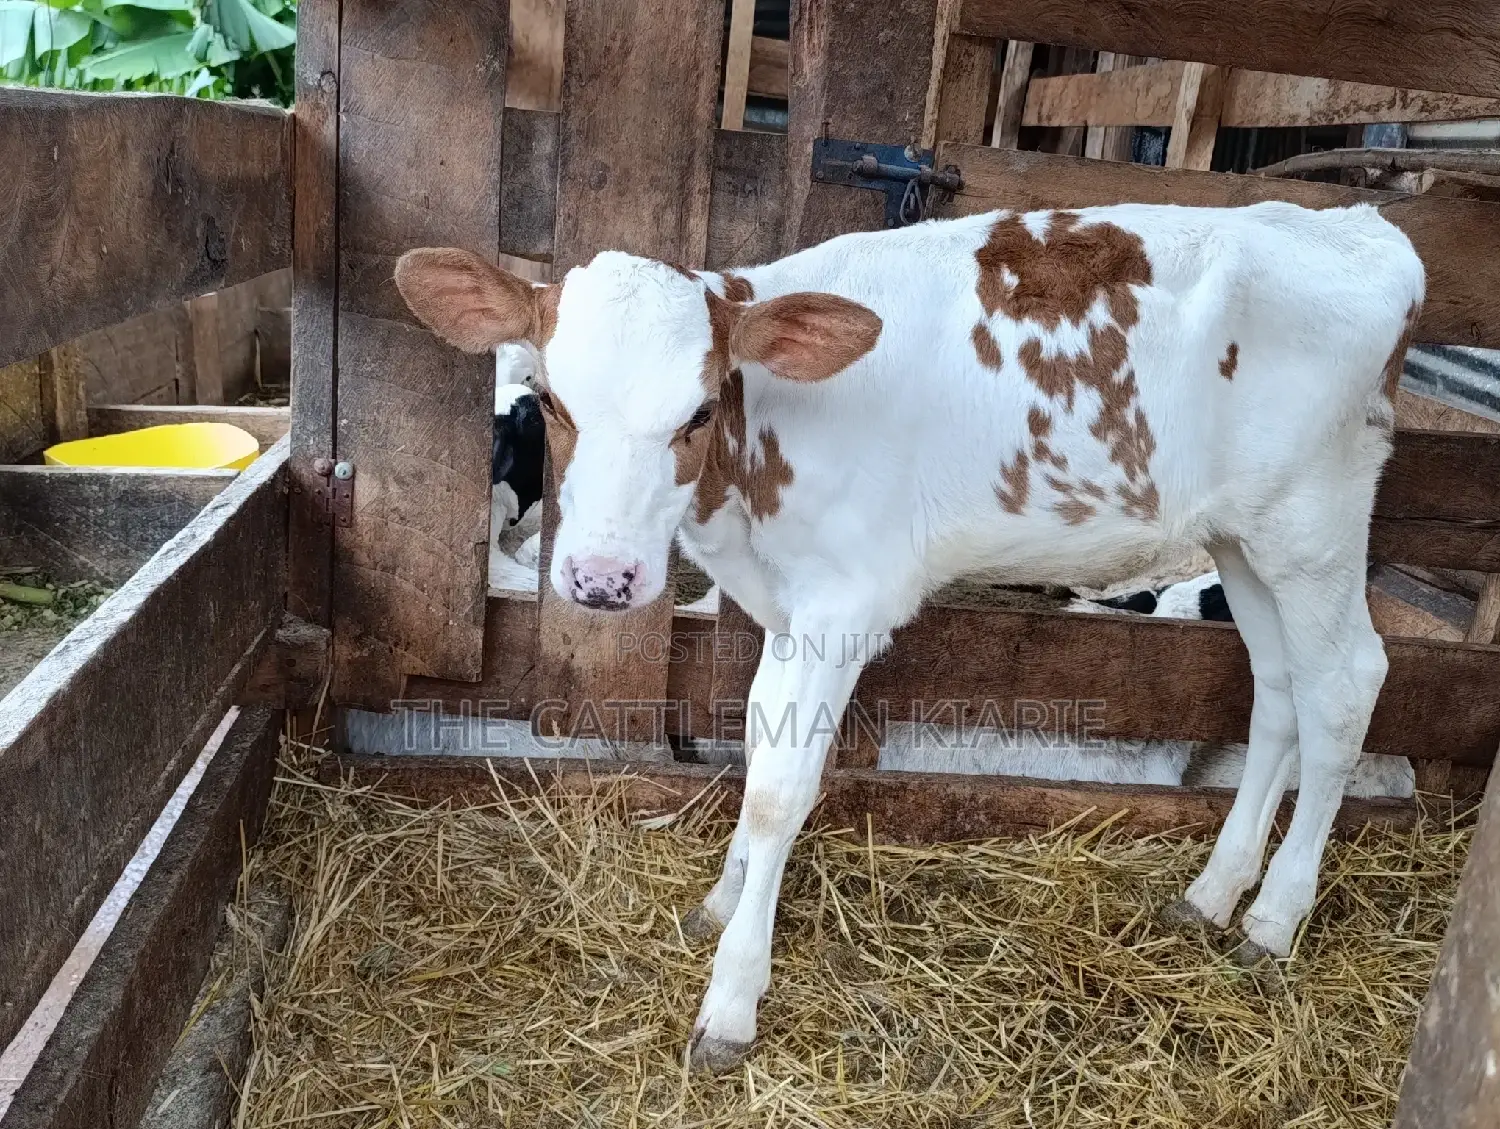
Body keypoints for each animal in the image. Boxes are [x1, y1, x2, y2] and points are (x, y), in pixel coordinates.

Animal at [391, 198, 1425, 1072]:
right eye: (552, 402)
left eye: (699, 410)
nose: (601, 578)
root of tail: (1365, 229)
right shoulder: (787, 605)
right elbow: (758, 743)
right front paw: (722, 902)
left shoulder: (845, 607)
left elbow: (782, 790)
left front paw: (732, 1000)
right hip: (1241, 539)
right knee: (1279, 688)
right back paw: (1214, 893)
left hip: (1315, 523)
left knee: (1346, 685)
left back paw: (1273, 920)